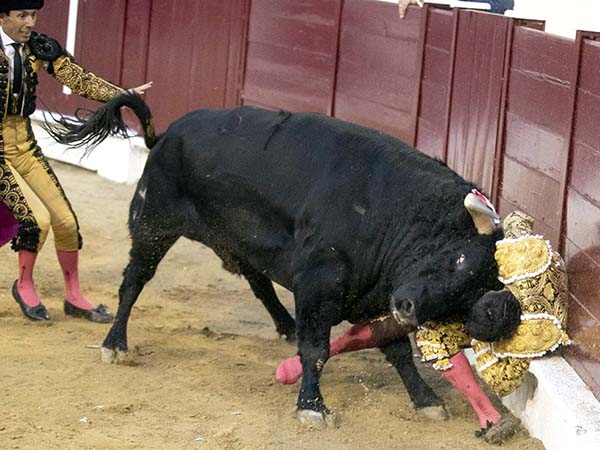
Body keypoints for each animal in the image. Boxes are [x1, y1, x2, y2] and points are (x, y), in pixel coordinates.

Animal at [48, 93, 504, 428]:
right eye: (458, 258)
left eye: (469, 297)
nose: (408, 307)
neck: (395, 210)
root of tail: (165, 135)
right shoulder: (319, 284)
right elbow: (316, 349)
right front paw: (312, 407)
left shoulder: (375, 297)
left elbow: (398, 353)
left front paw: (426, 400)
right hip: (153, 224)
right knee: (134, 281)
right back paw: (115, 344)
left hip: (234, 239)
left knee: (257, 279)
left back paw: (283, 324)